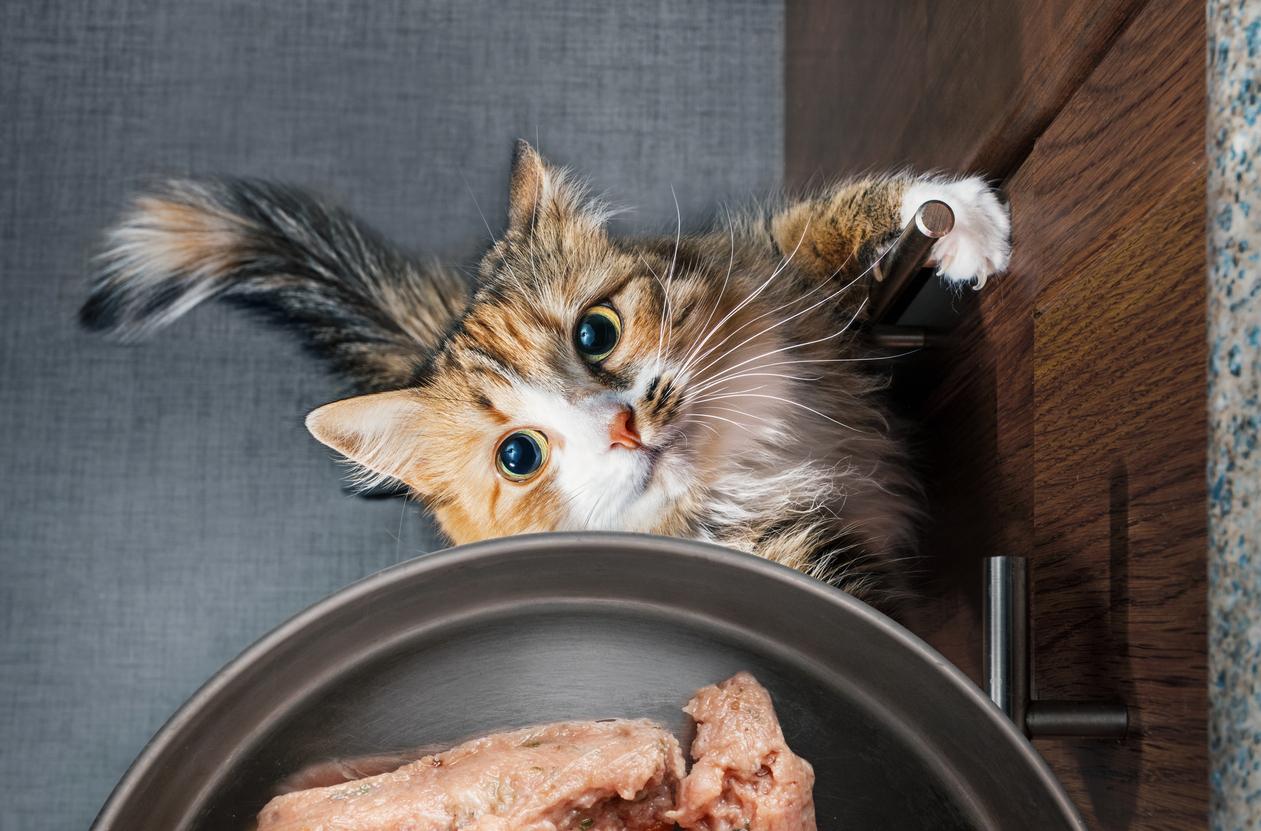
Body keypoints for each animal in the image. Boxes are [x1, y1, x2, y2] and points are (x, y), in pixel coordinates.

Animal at [78, 143, 1008, 607]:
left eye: (596, 333)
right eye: (519, 456)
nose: (621, 426)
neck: (744, 467)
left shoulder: (767, 270)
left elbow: (821, 224)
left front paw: (959, 219)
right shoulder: (794, 558)